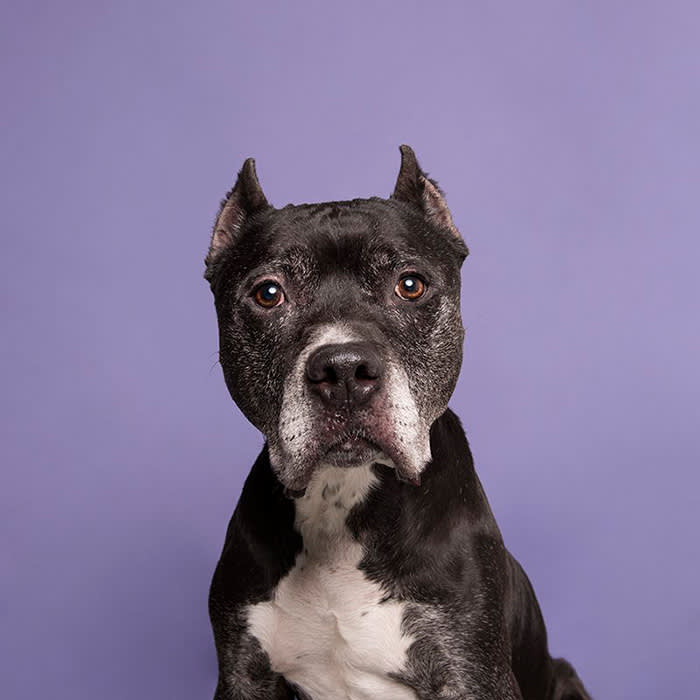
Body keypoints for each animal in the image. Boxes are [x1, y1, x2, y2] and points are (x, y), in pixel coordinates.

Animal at [204, 146, 592, 700]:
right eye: (268, 293)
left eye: (410, 285)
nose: (344, 369)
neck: (341, 501)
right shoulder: (243, 672)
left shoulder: (471, 669)